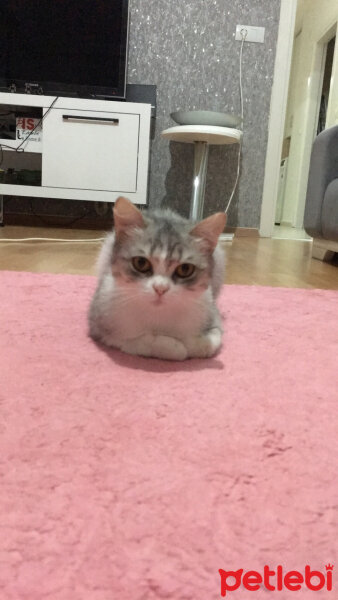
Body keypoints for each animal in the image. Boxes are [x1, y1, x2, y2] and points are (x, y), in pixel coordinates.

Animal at [89, 197, 227, 360]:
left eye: (185, 269)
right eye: (141, 263)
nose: (160, 288)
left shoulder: (212, 313)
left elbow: (210, 341)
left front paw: (191, 342)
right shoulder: (100, 325)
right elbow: (141, 342)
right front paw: (175, 347)